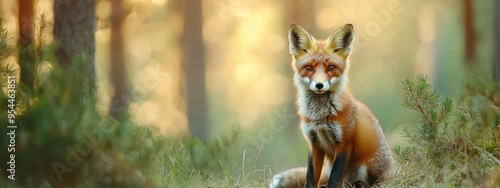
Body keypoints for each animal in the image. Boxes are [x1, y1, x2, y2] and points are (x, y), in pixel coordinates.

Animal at [270, 23, 394, 188]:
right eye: (309, 68)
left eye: (331, 68)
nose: (319, 85)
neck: (320, 117)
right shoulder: (314, 143)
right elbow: (311, 177)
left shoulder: (345, 143)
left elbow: (334, 178)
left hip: (365, 166)